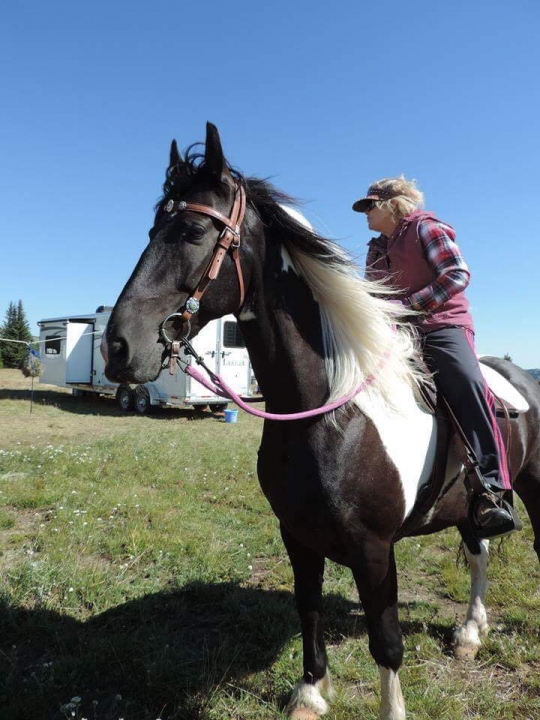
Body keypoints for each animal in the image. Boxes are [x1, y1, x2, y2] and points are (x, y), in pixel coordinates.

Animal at [101, 121, 540, 716]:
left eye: (192, 229)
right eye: (152, 228)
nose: (119, 347)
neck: (333, 415)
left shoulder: (374, 550)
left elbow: (387, 642)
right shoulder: (297, 534)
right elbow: (307, 607)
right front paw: (310, 692)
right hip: (469, 506)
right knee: (479, 551)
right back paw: (471, 634)